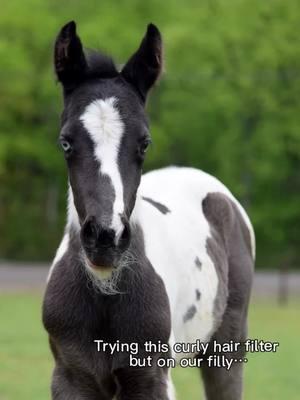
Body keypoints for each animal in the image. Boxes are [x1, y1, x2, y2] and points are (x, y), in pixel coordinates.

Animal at [43, 21, 255, 400]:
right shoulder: (71, 378)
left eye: (144, 143)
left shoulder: (151, 377)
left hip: (226, 350)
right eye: (65, 142)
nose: (106, 238)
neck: (106, 290)